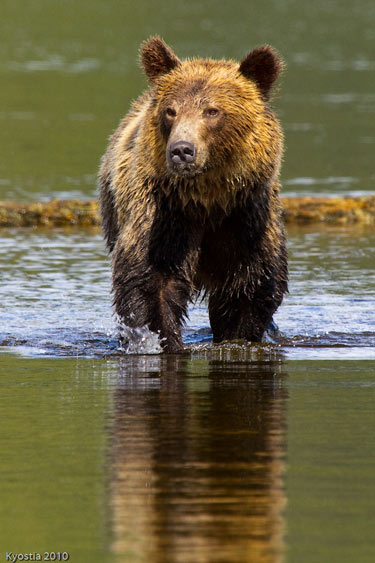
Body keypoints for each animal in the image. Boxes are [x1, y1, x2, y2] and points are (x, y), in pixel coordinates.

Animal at [99, 36, 288, 352]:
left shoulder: (245, 217)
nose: (182, 150)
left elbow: (248, 288)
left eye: (212, 111)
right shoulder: (164, 213)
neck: (207, 199)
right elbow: (152, 284)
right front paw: (163, 342)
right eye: (171, 110)